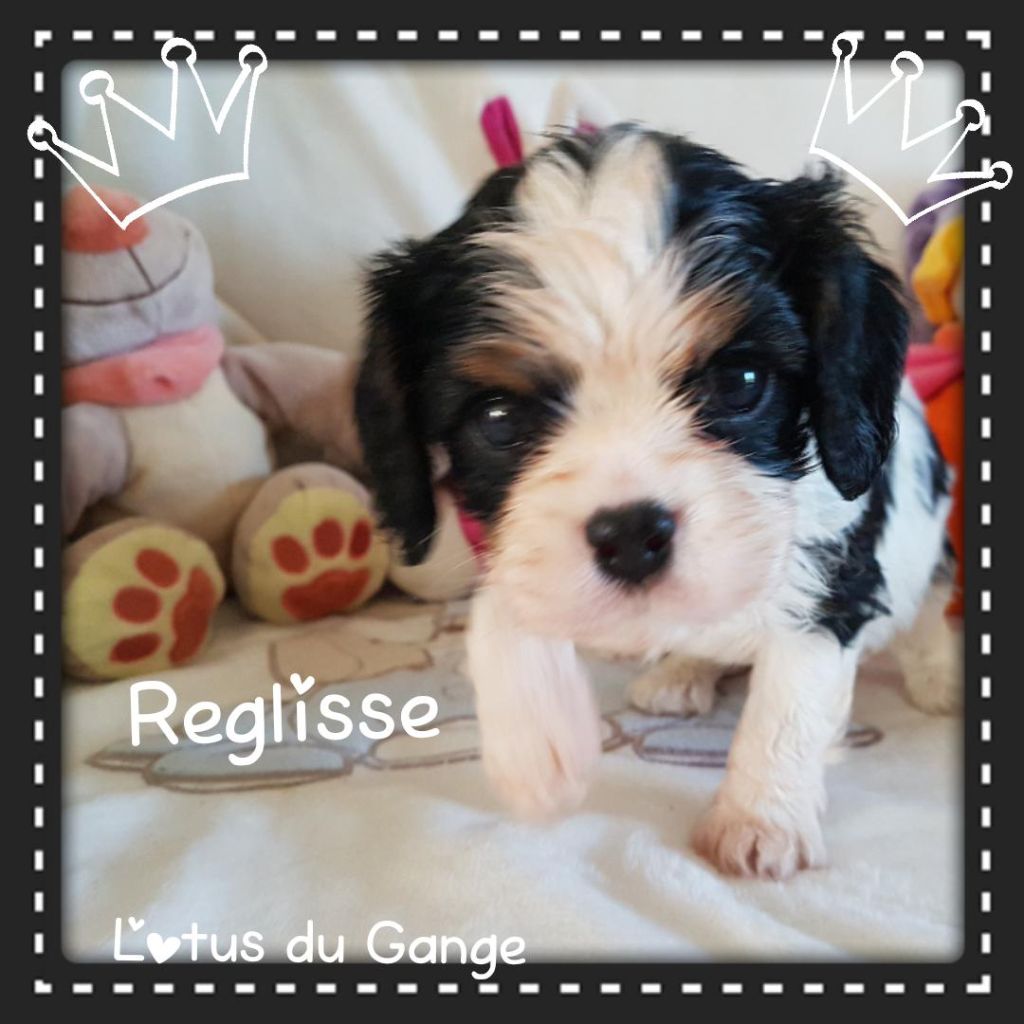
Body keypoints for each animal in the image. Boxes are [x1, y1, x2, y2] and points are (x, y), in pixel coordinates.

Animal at [355, 125, 960, 880]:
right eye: (496, 419)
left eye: (743, 382)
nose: (630, 534)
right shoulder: (524, 547)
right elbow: (502, 608)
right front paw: (536, 748)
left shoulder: (833, 571)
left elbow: (788, 698)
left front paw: (760, 819)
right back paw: (681, 670)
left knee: (930, 603)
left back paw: (935, 674)